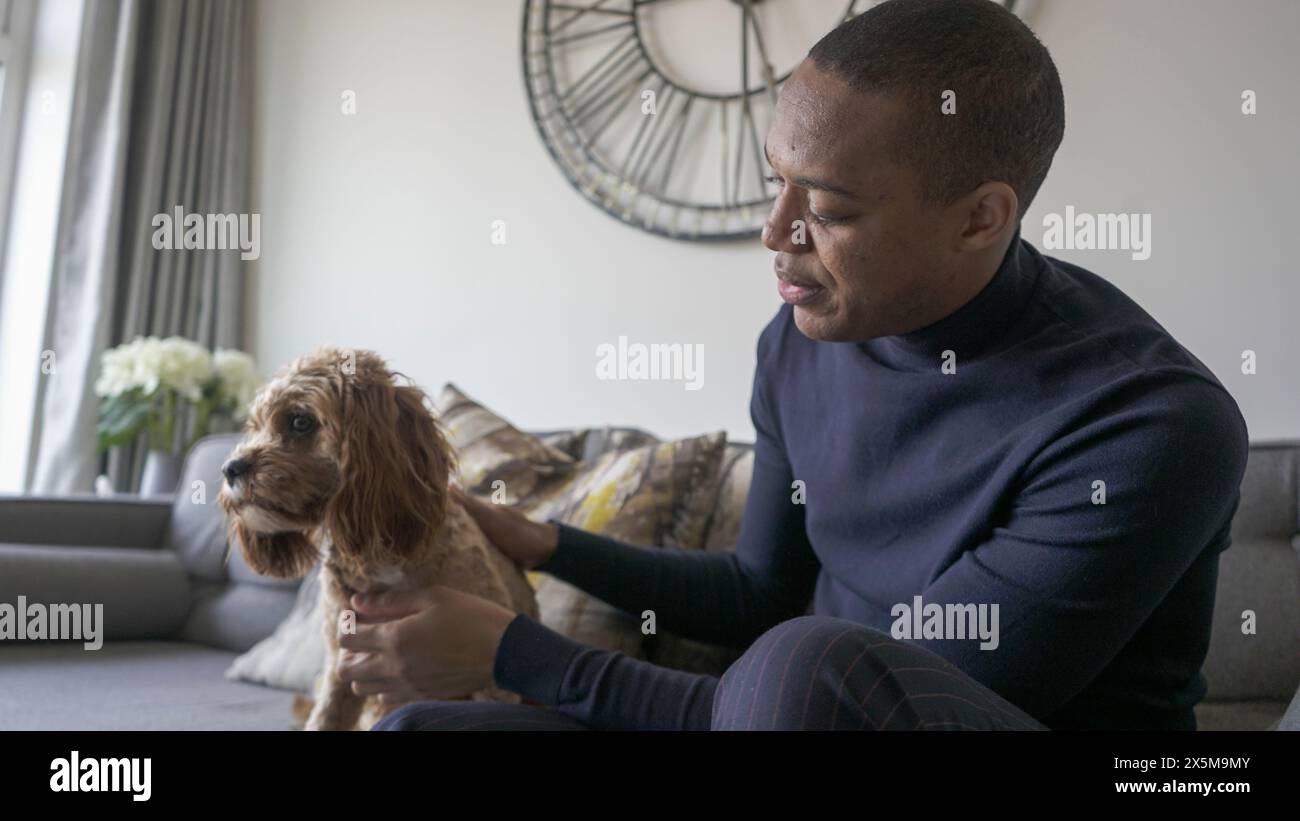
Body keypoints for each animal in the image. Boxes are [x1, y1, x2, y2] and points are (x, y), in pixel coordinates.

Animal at [218, 345, 538, 732]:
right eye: (255, 426)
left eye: (300, 421)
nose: (229, 468)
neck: (378, 561)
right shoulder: (342, 670)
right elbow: (323, 720)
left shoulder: (489, 682)